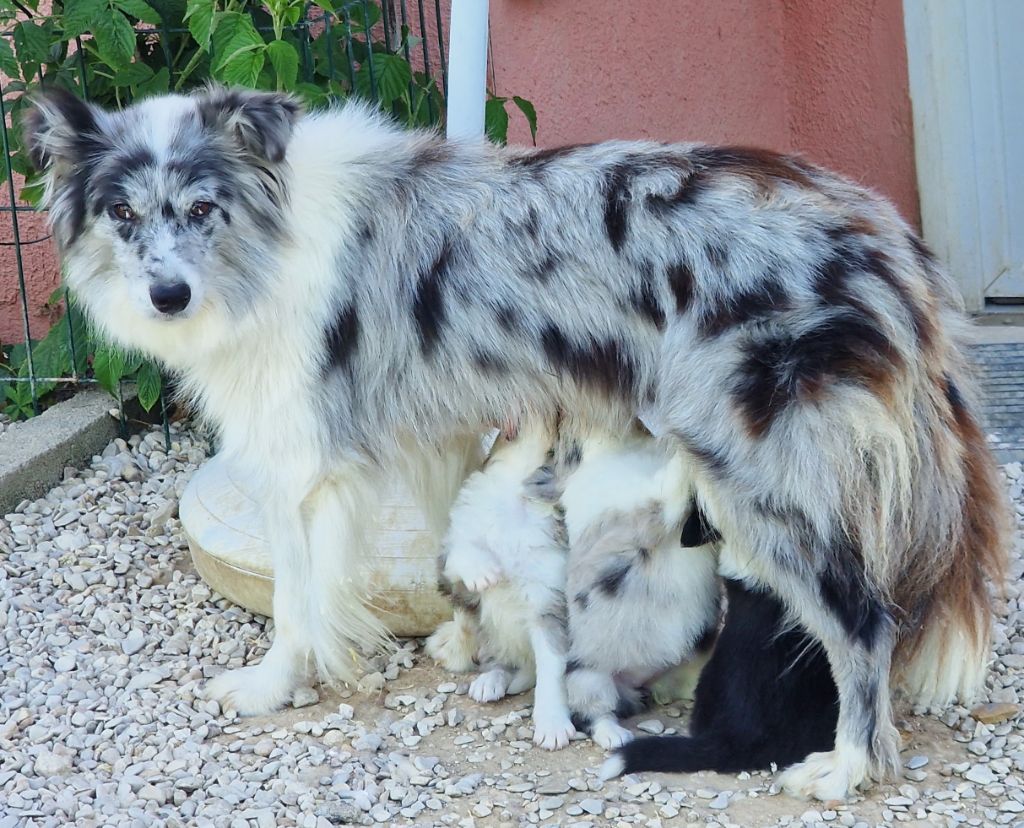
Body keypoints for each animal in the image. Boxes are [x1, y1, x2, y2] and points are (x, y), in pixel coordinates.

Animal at [25, 85, 1007, 802]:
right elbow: (460, 543)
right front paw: (472, 640)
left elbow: (300, 606)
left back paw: (846, 767)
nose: (168, 297)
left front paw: (271, 686)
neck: (271, 232)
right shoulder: (450, 436)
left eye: (202, 207)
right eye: (121, 215)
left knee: (863, 621)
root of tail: (885, 237)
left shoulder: (296, 463)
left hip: (756, 471)